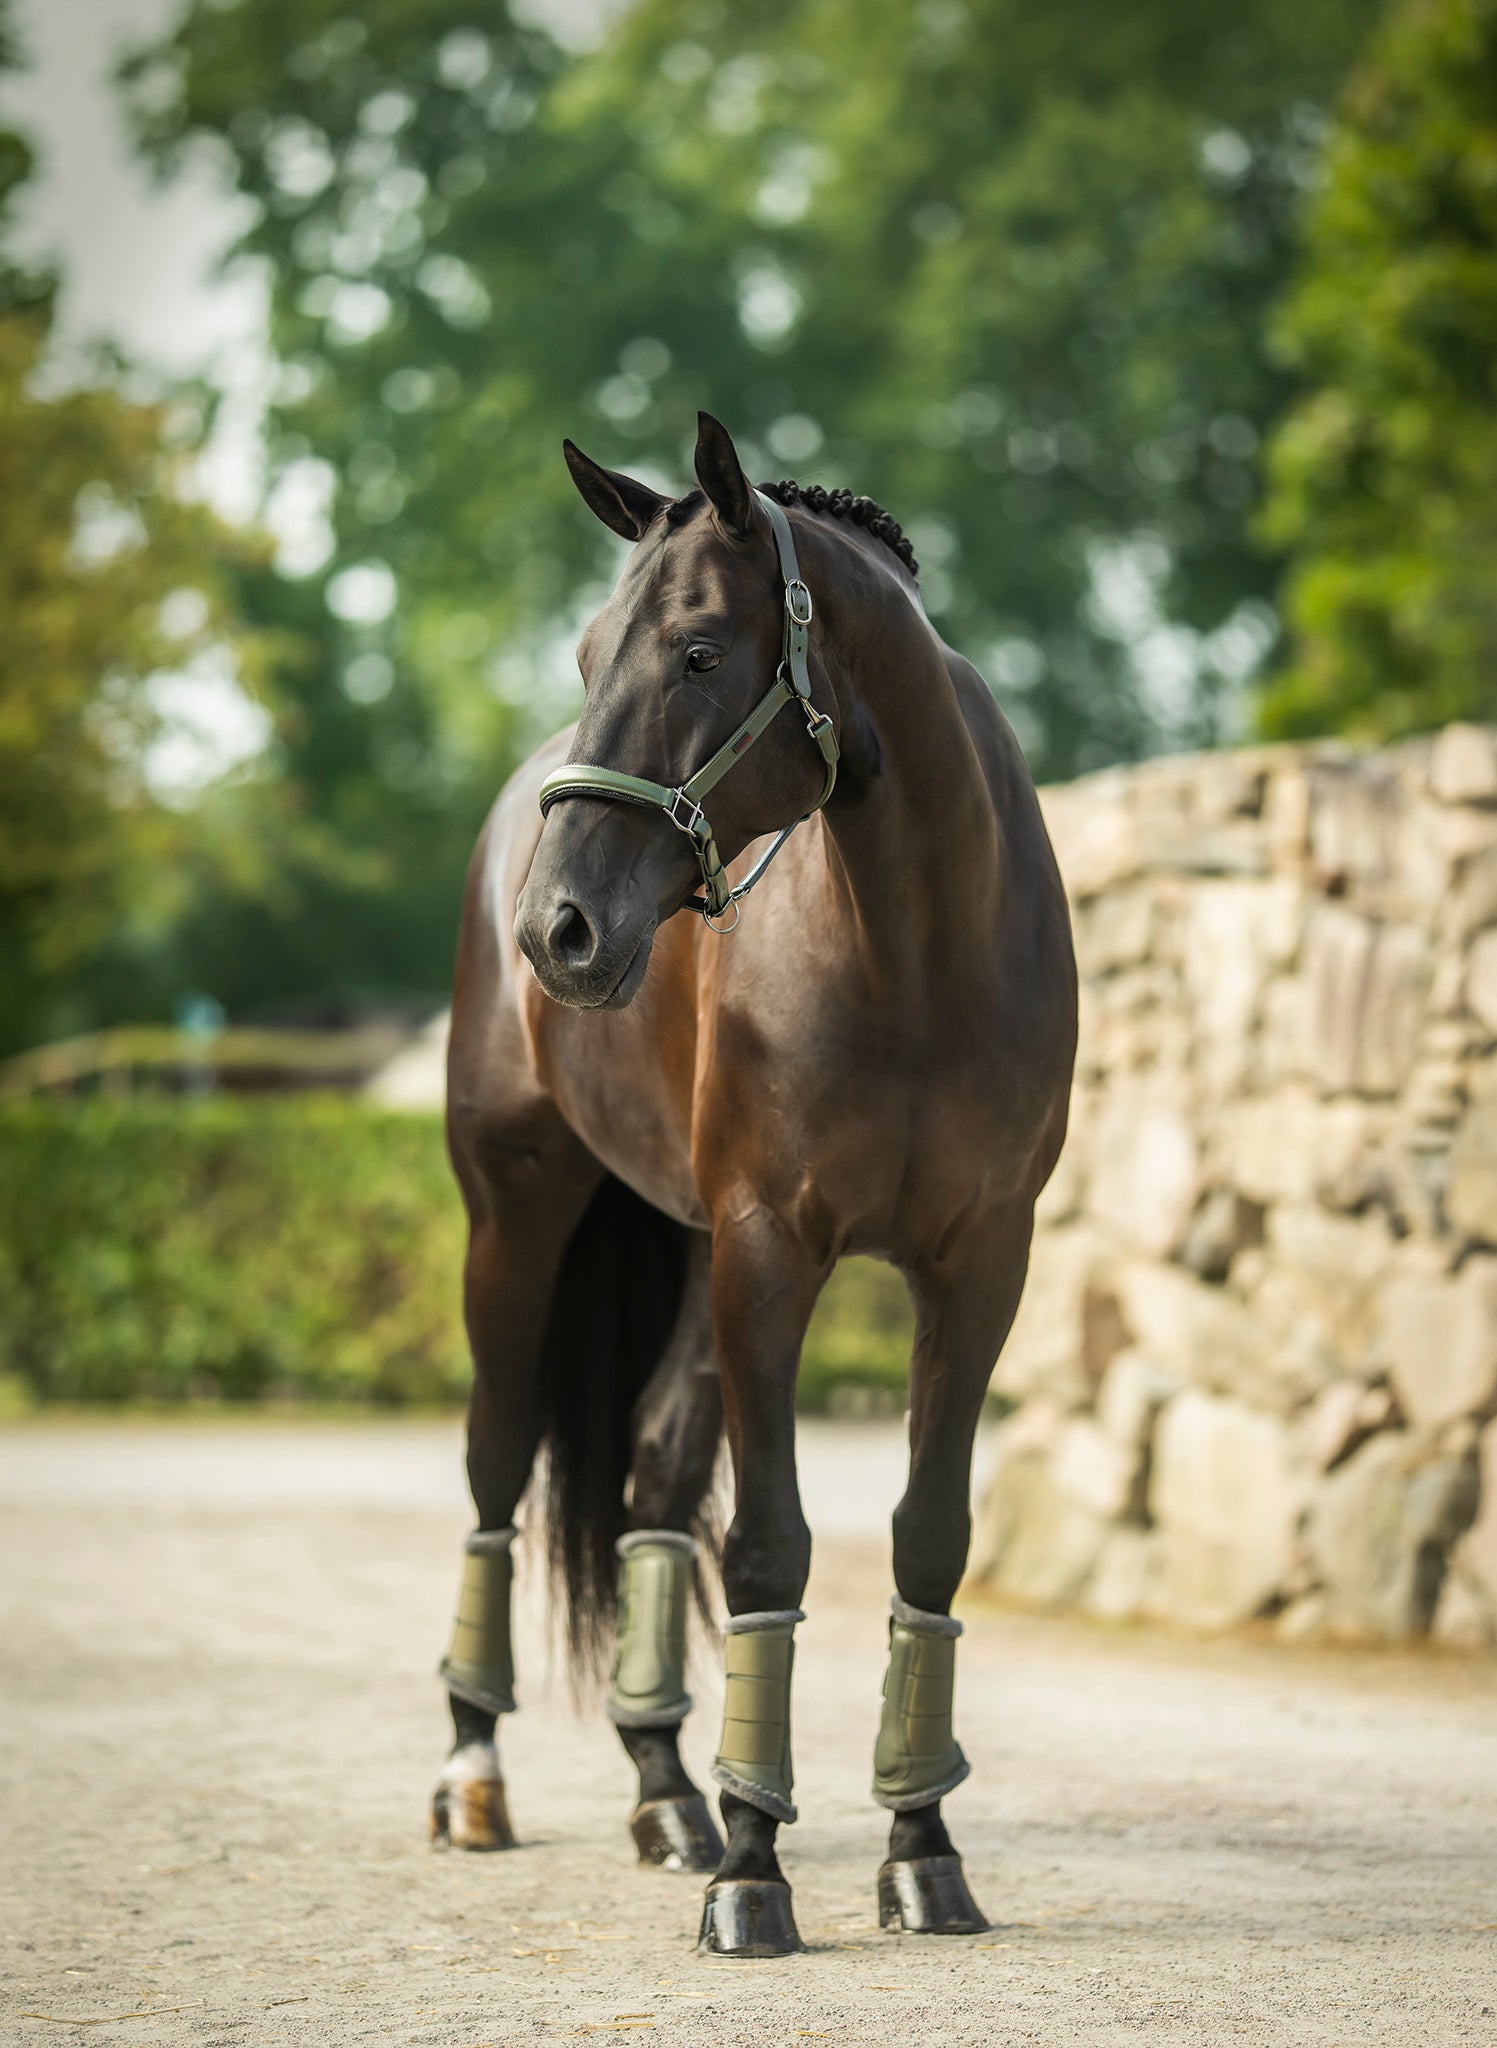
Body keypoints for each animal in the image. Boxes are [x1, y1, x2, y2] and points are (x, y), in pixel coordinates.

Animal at [434, 407, 1081, 1957]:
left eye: (696, 653)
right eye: (589, 652)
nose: (560, 929)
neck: (916, 955)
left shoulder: (981, 1262)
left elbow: (927, 1538)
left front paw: (920, 1852)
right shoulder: (769, 1248)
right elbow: (773, 1547)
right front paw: (754, 1870)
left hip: (681, 1246)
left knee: (656, 1469)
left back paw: (665, 1790)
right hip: (519, 1218)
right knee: (497, 1456)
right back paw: (476, 1774)